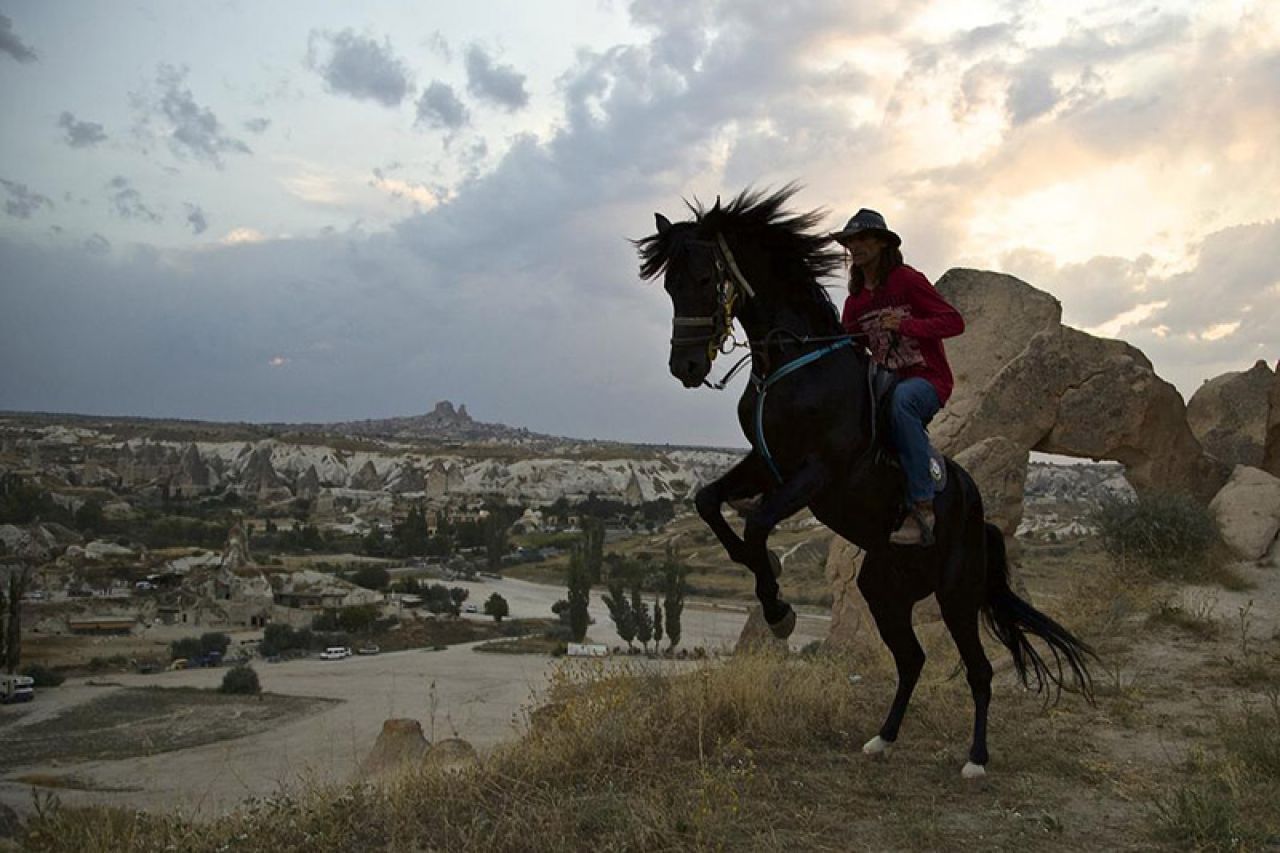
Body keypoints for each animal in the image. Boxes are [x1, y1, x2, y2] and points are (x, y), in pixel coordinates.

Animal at [634, 188, 1095, 778]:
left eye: (702, 278)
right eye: (669, 284)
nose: (686, 367)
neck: (791, 360)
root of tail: (979, 517)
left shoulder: (816, 473)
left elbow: (758, 521)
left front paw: (778, 609)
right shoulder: (764, 462)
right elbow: (708, 500)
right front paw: (758, 574)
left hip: (956, 595)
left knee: (978, 670)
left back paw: (976, 759)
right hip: (884, 592)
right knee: (912, 659)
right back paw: (884, 737)